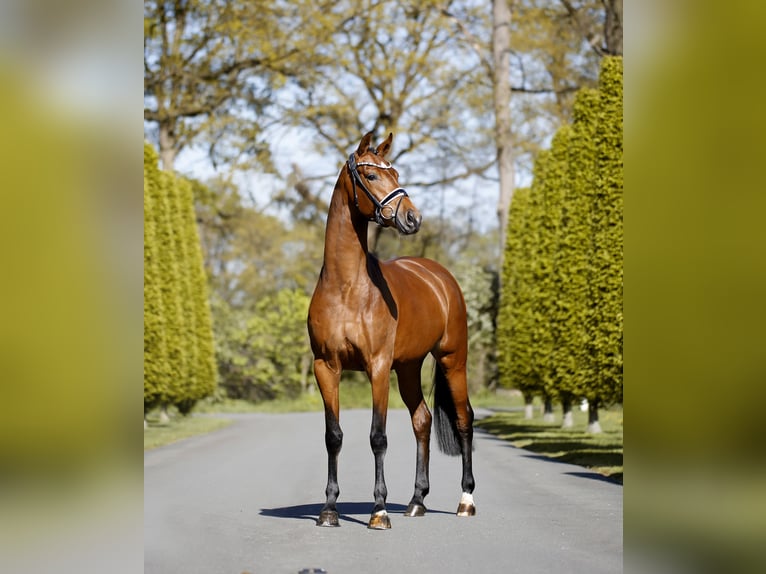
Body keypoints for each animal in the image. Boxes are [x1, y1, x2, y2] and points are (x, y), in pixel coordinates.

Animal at [307, 132, 476, 529]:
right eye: (370, 176)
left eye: (395, 173)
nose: (413, 217)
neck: (346, 288)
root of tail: (439, 276)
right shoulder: (326, 367)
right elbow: (333, 435)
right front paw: (329, 509)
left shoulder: (378, 367)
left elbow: (378, 437)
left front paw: (379, 511)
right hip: (410, 368)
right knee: (422, 421)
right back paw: (417, 501)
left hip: (453, 360)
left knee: (464, 421)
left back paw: (465, 501)